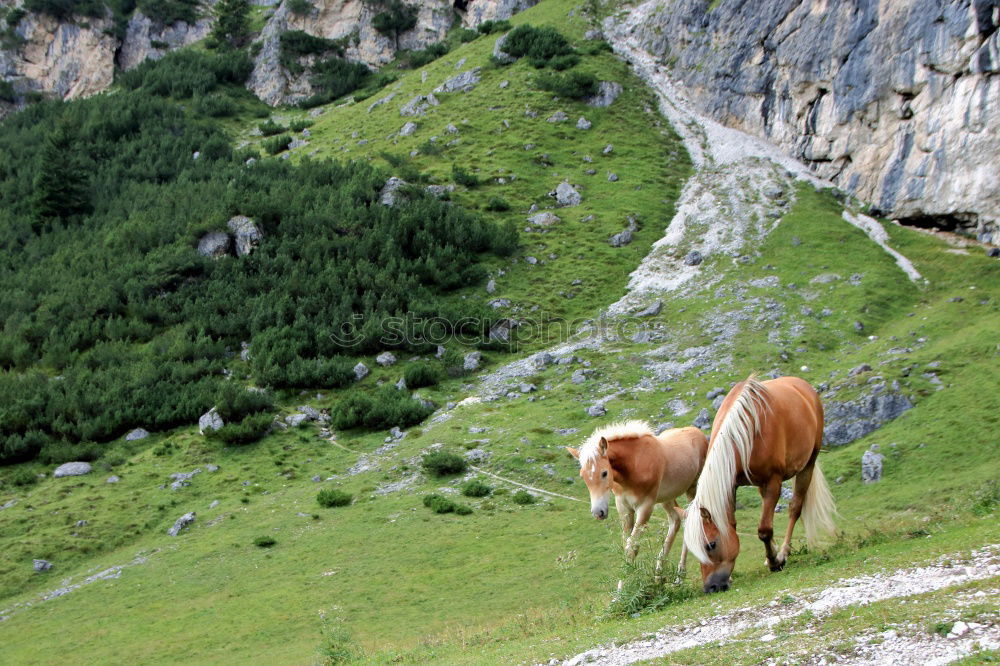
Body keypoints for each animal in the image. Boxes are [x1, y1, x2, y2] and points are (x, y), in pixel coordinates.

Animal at [568, 422, 708, 584]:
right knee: (676, 520)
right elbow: (626, 544)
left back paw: (680, 575)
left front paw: (624, 586)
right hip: (666, 498)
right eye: (583, 476)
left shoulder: (645, 507)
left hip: (692, 489)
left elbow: (631, 547)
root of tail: (697, 432)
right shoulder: (624, 508)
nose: (598, 512)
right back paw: (658, 574)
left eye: (604, 473)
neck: (633, 466)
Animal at [684, 374, 840, 592]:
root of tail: (802, 386)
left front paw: (775, 561)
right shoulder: (732, 484)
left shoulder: (773, 480)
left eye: (711, 545)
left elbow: (764, 530)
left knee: (795, 508)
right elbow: (732, 522)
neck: (745, 432)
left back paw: (783, 552)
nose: (710, 587)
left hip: (808, 465)